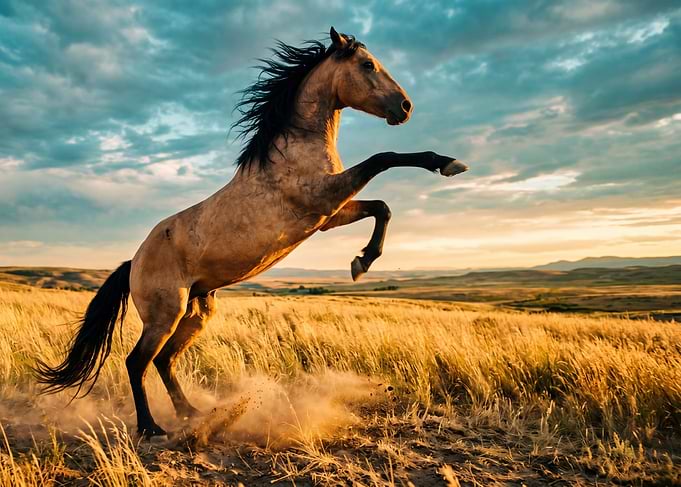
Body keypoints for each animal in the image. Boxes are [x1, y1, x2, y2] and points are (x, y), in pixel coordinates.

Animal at [36, 27, 469, 437]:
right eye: (367, 64)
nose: (406, 107)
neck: (292, 148)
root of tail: (133, 262)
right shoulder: (323, 197)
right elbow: (385, 157)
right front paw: (447, 164)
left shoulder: (327, 215)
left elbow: (382, 206)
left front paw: (361, 262)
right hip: (165, 314)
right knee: (137, 361)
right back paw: (151, 427)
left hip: (197, 312)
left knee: (163, 360)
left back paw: (193, 413)